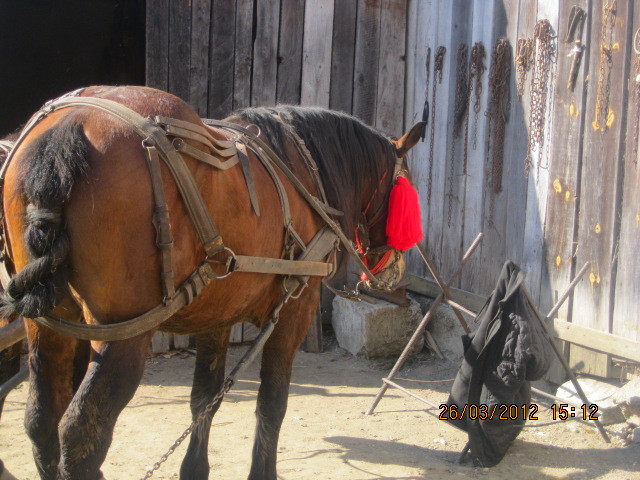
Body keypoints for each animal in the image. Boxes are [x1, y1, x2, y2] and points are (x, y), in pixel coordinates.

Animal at [1, 87, 424, 480]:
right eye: (404, 187)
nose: (394, 268)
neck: (302, 168)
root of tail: (69, 127)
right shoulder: (294, 313)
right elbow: (272, 403)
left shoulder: (217, 317)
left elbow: (204, 400)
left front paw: (194, 467)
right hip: (123, 337)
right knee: (81, 434)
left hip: (48, 326)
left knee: (41, 421)